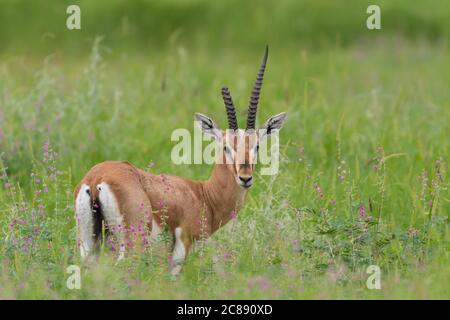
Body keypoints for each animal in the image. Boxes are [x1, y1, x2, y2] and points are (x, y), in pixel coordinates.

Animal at [72, 47, 286, 276]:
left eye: (257, 146)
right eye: (226, 147)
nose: (245, 178)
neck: (203, 196)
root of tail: (96, 178)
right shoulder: (181, 247)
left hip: (89, 243)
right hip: (131, 242)